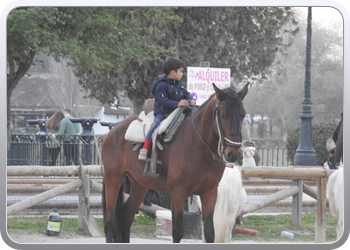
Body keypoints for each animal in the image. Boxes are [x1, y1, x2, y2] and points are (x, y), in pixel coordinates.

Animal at [101, 83, 249, 243]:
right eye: (223, 115)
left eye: (243, 115)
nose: (233, 153)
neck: (199, 145)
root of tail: (113, 130)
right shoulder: (178, 194)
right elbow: (177, 231)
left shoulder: (210, 193)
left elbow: (210, 232)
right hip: (113, 179)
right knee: (110, 220)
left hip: (140, 184)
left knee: (126, 218)